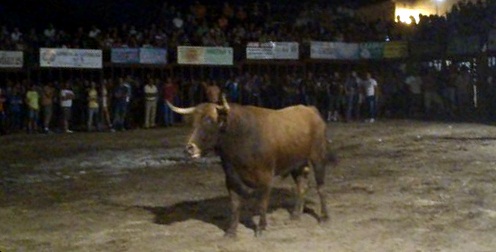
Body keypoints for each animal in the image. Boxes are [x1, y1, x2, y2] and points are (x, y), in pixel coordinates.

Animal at [169, 96, 336, 236]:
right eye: (193, 122)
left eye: (209, 120)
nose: (190, 148)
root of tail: (311, 110)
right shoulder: (231, 178)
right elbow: (235, 205)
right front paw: (231, 232)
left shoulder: (266, 177)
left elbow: (262, 203)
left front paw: (261, 228)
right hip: (296, 163)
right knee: (302, 185)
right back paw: (295, 216)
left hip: (318, 157)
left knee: (320, 187)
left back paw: (325, 217)